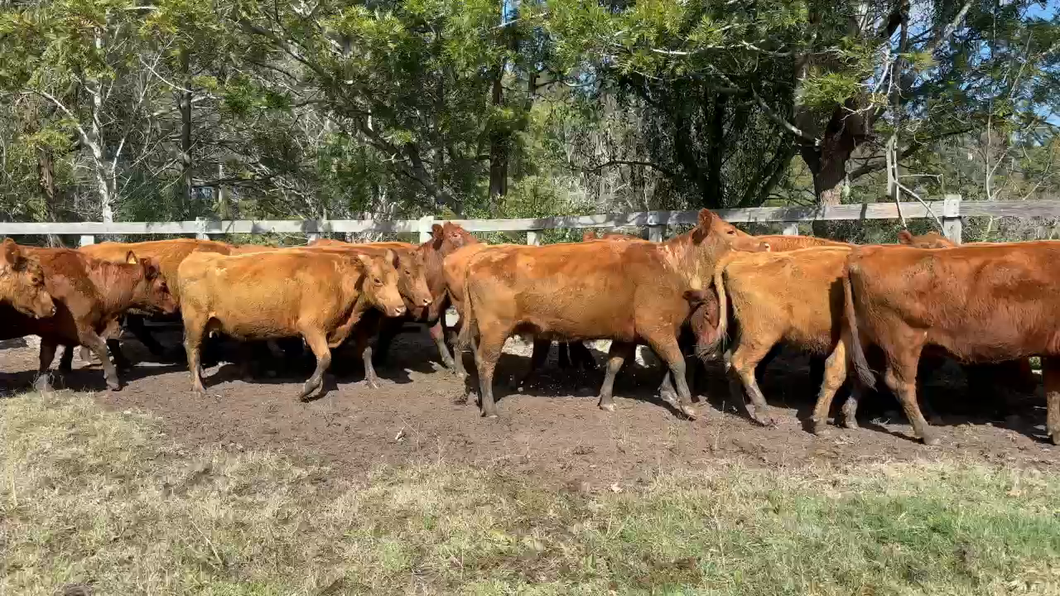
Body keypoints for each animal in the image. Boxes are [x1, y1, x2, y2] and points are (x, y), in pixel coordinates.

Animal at [0, 247, 175, 390]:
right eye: (163, 284)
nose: (174, 305)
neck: (93, 283)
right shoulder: (81, 329)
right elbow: (101, 346)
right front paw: (112, 380)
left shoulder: (51, 333)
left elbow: (46, 357)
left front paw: (42, 385)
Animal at [175, 246, 402, 398]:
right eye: (377, 280)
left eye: (397, 279)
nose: (401, 308)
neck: (338, 282)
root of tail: (193, 258)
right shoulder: (311, 327)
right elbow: (325, 358)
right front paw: (306, 389)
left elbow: (366, 351)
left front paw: (372, 380)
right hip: (196, 321)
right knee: (192, 349)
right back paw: (198, 387)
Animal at [460, 208, 767, 417]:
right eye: (730, 231)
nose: (763, 244)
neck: (671, 267)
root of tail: (479, 257)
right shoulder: (657, 328)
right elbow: (678, 362)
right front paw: (688, 405)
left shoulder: (626, 334)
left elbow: (614, 364)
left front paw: (606, 400)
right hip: (495, 329)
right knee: (486, 364)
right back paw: (491, 409)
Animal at [847, 239, 1060, 441]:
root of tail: (867, 253)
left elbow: (1053, 392)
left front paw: (1055, 433)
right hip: (904, 341)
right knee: (900, 383)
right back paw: (927, 434)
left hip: (867, 337)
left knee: (859, 372)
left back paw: (849, 418)